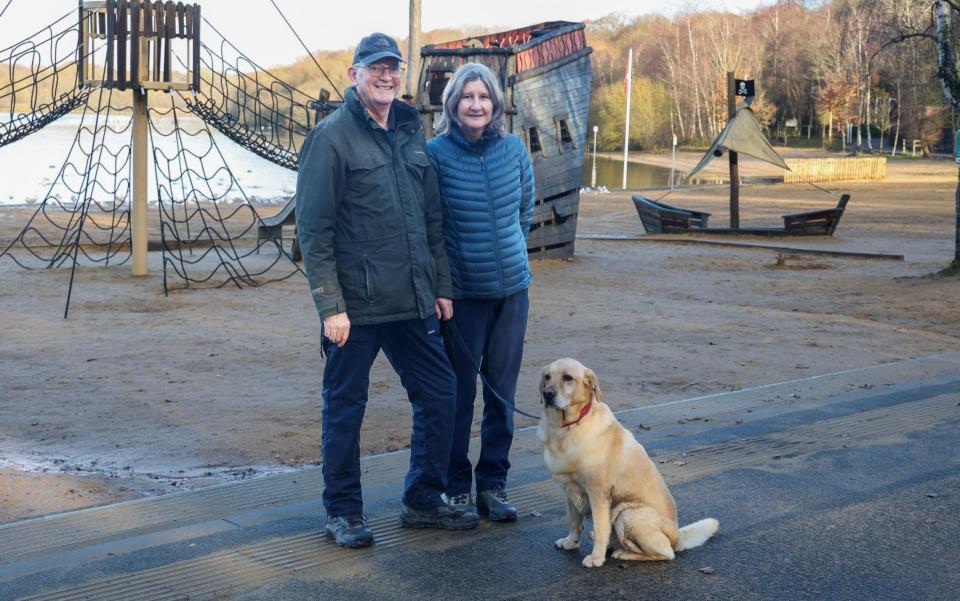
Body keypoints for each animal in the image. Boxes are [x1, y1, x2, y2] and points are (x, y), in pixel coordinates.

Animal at [536, 358, 716, 564]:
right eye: (547, 377)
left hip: (627, 513)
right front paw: (570, 542)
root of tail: (677, 536)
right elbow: (573, 521)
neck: (565, 428)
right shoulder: (568, 490)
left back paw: (624, 553)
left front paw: (596, 558)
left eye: (567, 378)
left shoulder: (598, 493)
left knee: (665, 553)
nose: (547, 394)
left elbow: (600, 528)